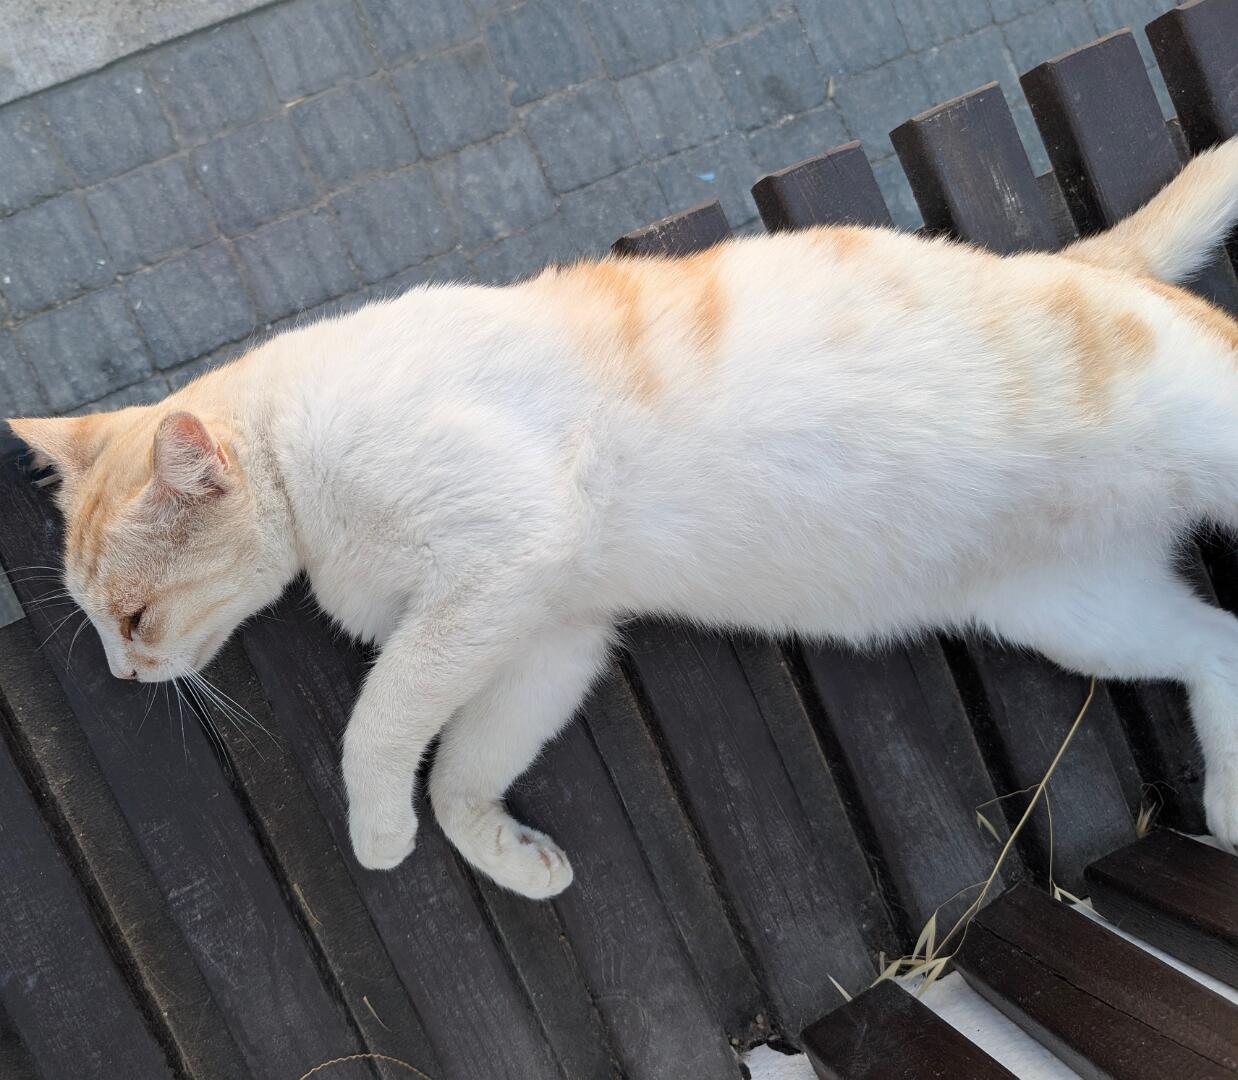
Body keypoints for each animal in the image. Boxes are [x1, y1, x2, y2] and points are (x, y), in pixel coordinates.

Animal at [9, 136, 1238, 900]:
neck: (297, 450)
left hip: (1201, 444)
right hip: (1071, 615)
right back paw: (1228, 802)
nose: (120, 673)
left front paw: (374, 830)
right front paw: (505, 855)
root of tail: (1089, 262)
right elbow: (462, 770)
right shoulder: (543, 632)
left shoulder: (500, 557)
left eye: (134, 615)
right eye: (101, 622)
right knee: (1217, 644)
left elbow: (377, 723)